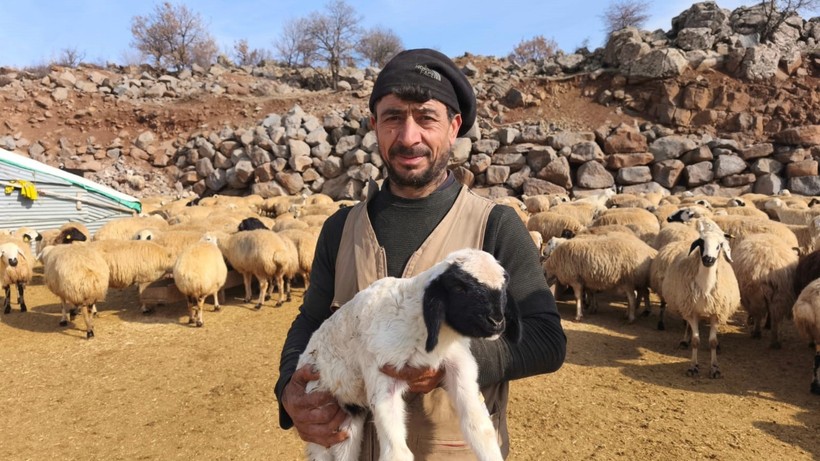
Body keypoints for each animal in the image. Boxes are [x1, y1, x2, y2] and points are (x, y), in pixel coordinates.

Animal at [298, 248, 524, 460]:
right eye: (459, 287)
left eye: (504, 288)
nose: (496, 322)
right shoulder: (382, 375)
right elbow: (397, 453)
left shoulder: (458, 364)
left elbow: (480, 429)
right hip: (320, 408)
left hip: (349, 414)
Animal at [660, 227, 744, 378]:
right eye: (701, 242)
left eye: (719, 245)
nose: (708, 259)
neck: (706, 287)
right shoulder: (692, 311)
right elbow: (695, 341)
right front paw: (693, 366)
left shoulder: (716, 313)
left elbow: (712, 342)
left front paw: (715, 368)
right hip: (687, 307)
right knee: (688, 325)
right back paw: (684, 340)